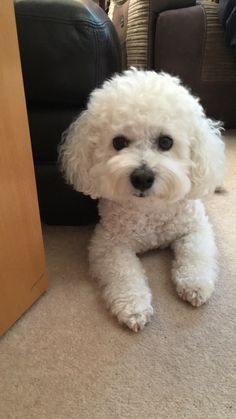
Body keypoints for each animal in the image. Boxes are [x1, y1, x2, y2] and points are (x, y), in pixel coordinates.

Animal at [59, 68, 225, 332]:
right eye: (118, 142)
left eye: (166, 142)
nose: (142, 178)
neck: (150, 209)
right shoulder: (108, 244)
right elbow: (125, 274)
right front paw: (133, 307)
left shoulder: (195, 229)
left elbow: (195, 254)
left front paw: (195, 285)